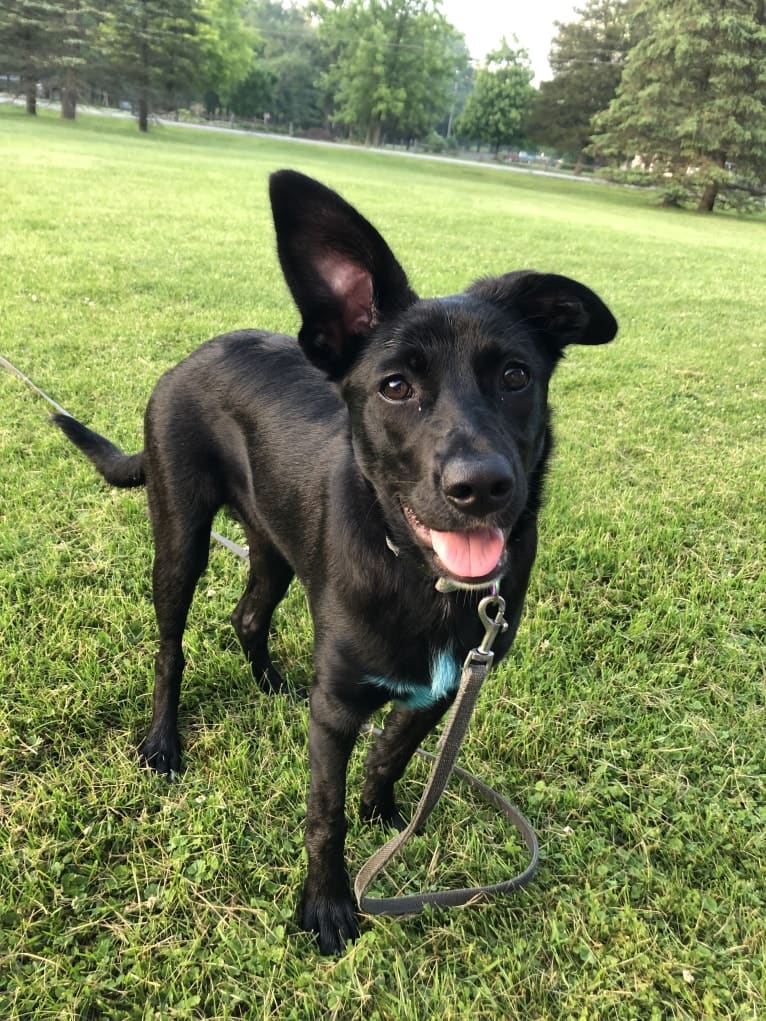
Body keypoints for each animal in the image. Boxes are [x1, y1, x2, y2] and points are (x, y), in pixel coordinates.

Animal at [55, 171, 616, 951]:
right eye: (395, 386)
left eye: (515, 375)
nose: (480, 487)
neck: (422, 576)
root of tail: (191, 356)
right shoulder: (341, 708)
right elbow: (326, 813)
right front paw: (325, 905)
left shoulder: (445, 682)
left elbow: (396, 750)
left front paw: (387, 812)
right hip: (180, 533)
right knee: (171, 644)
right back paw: (163, 742)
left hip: (276, 544)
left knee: (247, 614)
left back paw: (273, 684)